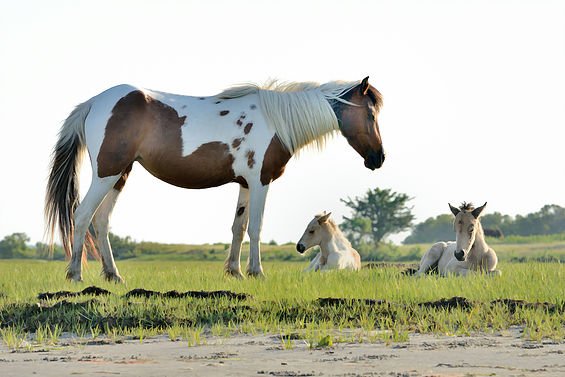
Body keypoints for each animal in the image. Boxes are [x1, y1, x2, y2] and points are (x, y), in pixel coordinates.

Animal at [46, 76, 384, 280]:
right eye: (370, 115)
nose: (378, 159)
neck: (275, 121)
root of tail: (95, 102)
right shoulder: (260, 182)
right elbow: (256, 227)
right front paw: (257, 272)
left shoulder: (245, 184)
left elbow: (239, 227)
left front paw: (235, 272)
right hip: (107, 173)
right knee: (82, 215)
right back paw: (75, 274)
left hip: (120, 175)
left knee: (101, 221)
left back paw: (113, 275)